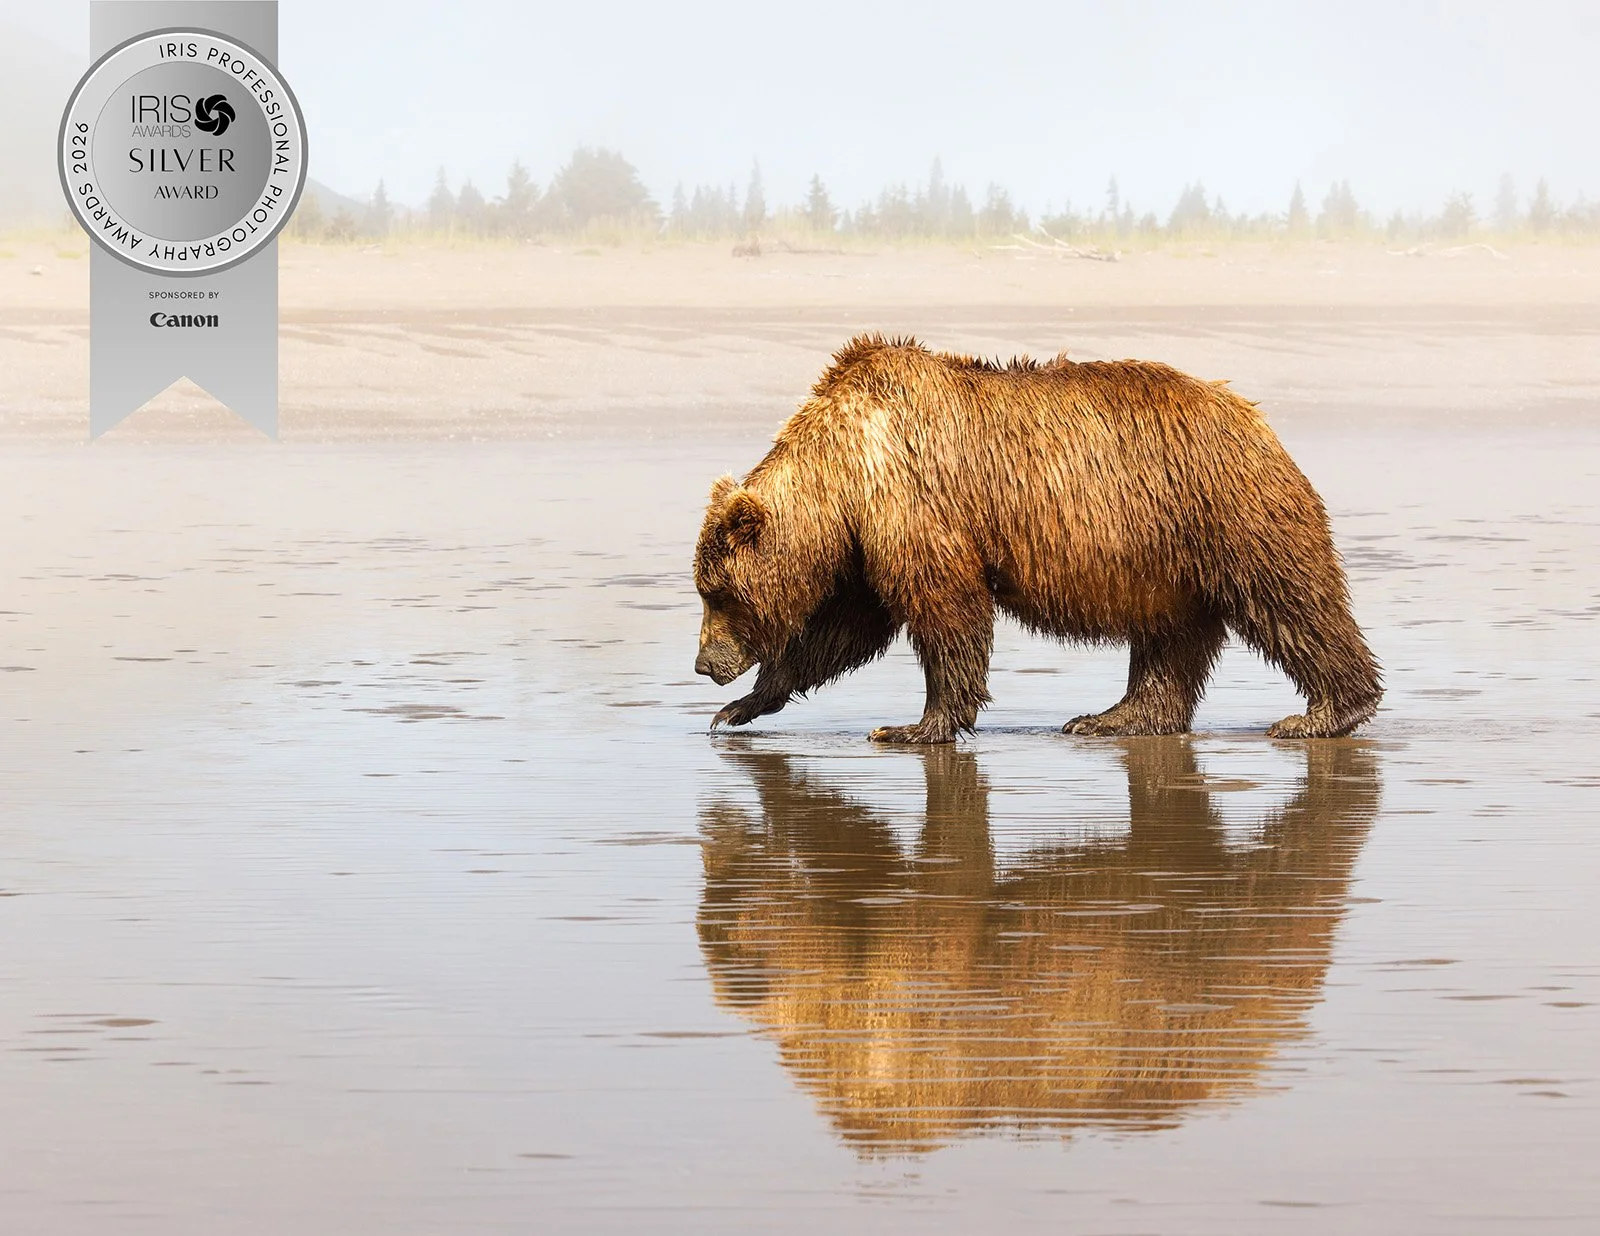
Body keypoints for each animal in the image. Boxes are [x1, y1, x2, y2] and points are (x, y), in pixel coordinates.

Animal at [692, 334, 1382, 742]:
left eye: (719, 594)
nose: (704, 665)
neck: (840, 474)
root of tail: (1256, 418)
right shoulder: (866, 542)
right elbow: (844, 629)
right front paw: (743, 705)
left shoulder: (912, 501)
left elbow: (944, 610)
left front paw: (916, 726)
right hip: (1169, 556)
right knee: (1170, 637)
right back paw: (1112, 717)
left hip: (1227, 511)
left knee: (1292, 600)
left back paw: (1323, 712)